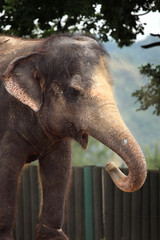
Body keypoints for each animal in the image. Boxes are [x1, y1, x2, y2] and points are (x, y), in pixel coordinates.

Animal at [0, 34, 147, 240]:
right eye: (73, 92)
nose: (110, 165)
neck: (39, 48)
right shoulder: (8, 125)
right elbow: (6, 169)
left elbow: (60, 167)